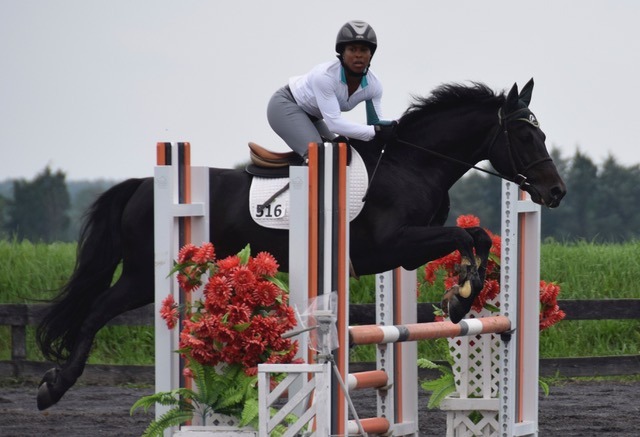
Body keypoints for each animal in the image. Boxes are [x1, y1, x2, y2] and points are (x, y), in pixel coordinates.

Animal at [35, 79, 564, 408]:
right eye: (524, 135)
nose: (555, 191)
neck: (412, 164)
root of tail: (145, 183)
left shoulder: (407, 252)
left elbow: (476, 235)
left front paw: (462, 295)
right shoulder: (389, 248)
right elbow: (463, 234)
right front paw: (461, 295)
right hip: (144, 273)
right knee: (96, 310)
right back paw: (53, 387)